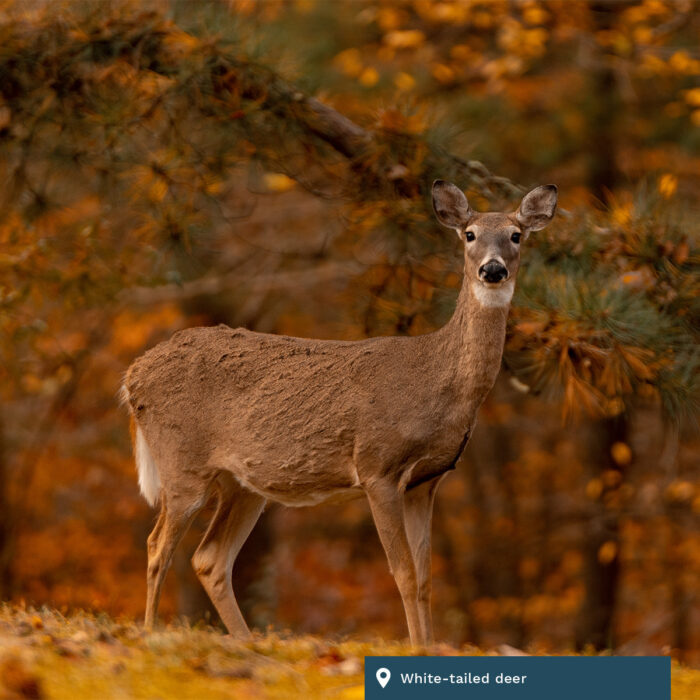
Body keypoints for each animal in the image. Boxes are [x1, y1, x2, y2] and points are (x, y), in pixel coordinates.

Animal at [121, 179, 557, 646]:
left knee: (210, 558)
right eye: (470, 234)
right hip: (181, 462)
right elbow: (404, 574)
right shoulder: (377, 467)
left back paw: (246, 640)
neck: (437, 380)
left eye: (516, 235)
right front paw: (417, 647)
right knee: (157, 546)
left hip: (242, 485)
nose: (492, 270)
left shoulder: (426, 482)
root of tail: (132, 376)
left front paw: (428, 646)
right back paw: (150, 633)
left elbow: (425, 578)